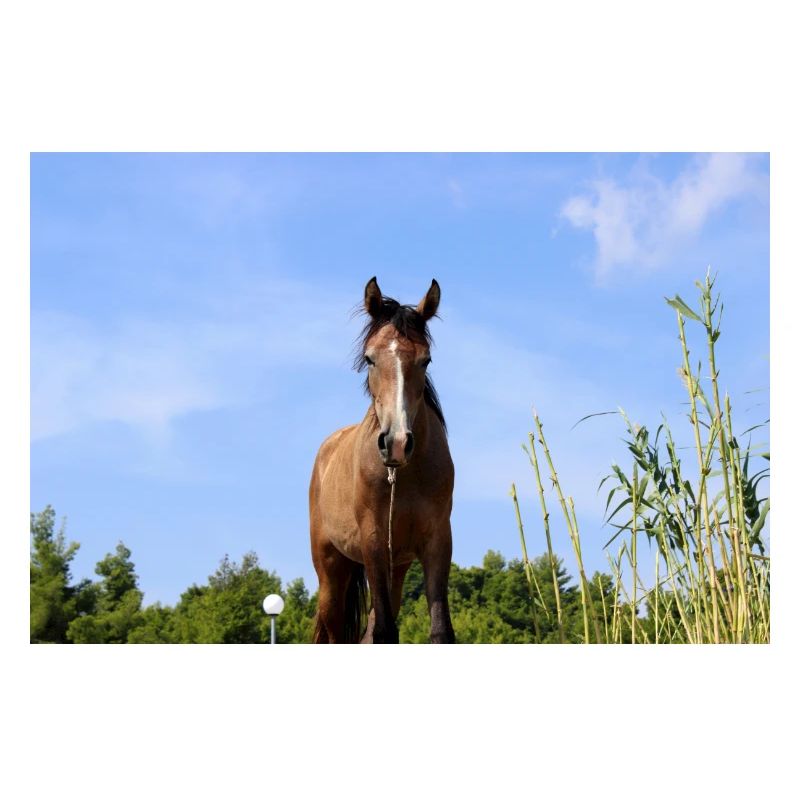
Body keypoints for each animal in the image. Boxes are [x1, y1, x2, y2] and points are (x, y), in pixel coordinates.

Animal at [309, 277, 456, 644]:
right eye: (370, 358)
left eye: (425, 360)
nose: (397, 442)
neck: (405, 477)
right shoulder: (373, 542)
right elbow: (385, 632)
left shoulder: (437, 542)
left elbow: (440, 630)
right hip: (331, 570)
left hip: (396, 568)